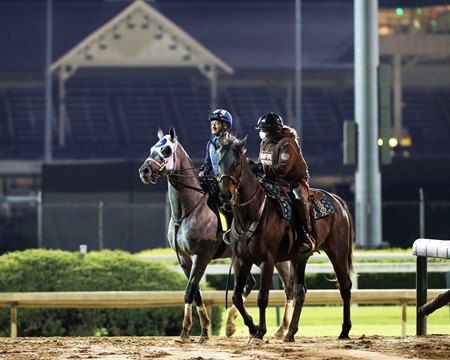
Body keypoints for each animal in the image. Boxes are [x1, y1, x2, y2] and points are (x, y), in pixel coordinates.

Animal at [139, 127, 294, 344]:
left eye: (166, 150)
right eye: (152, 148)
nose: (144, 171)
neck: (187, 210)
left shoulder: (201, 256)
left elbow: (190, 290)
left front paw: (185, 330)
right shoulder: (184, 259)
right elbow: (196, 292)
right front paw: (203, 329)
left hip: (278, 257)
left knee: (288, 288)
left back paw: (281, 330)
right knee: (249, 284)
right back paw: (233, 324)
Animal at [218, 133, 356, 344]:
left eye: (236, 163)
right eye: (219, 162)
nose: (225, 194)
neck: (254, 212)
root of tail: (337, 201)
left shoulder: (267, 260)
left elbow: (262, 297)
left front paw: (260, 332)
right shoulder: (242, 260)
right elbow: (236, 297)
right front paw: (251, 327)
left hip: (338, 253)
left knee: (345, 287)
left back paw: (344, 331)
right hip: (299, 257)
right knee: (300, 291)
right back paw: (291, 332)